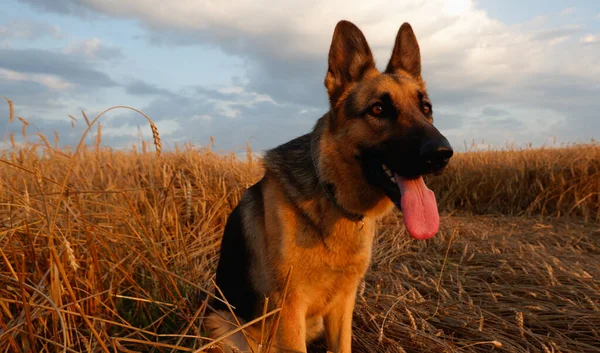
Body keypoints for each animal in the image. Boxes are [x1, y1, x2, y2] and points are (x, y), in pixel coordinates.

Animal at [204, 20, 452, 352]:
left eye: (426, 108)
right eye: (377, 110)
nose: (442, 153)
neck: (332, 196)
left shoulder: (342, 306)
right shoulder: (291, 310)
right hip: (221, 323)